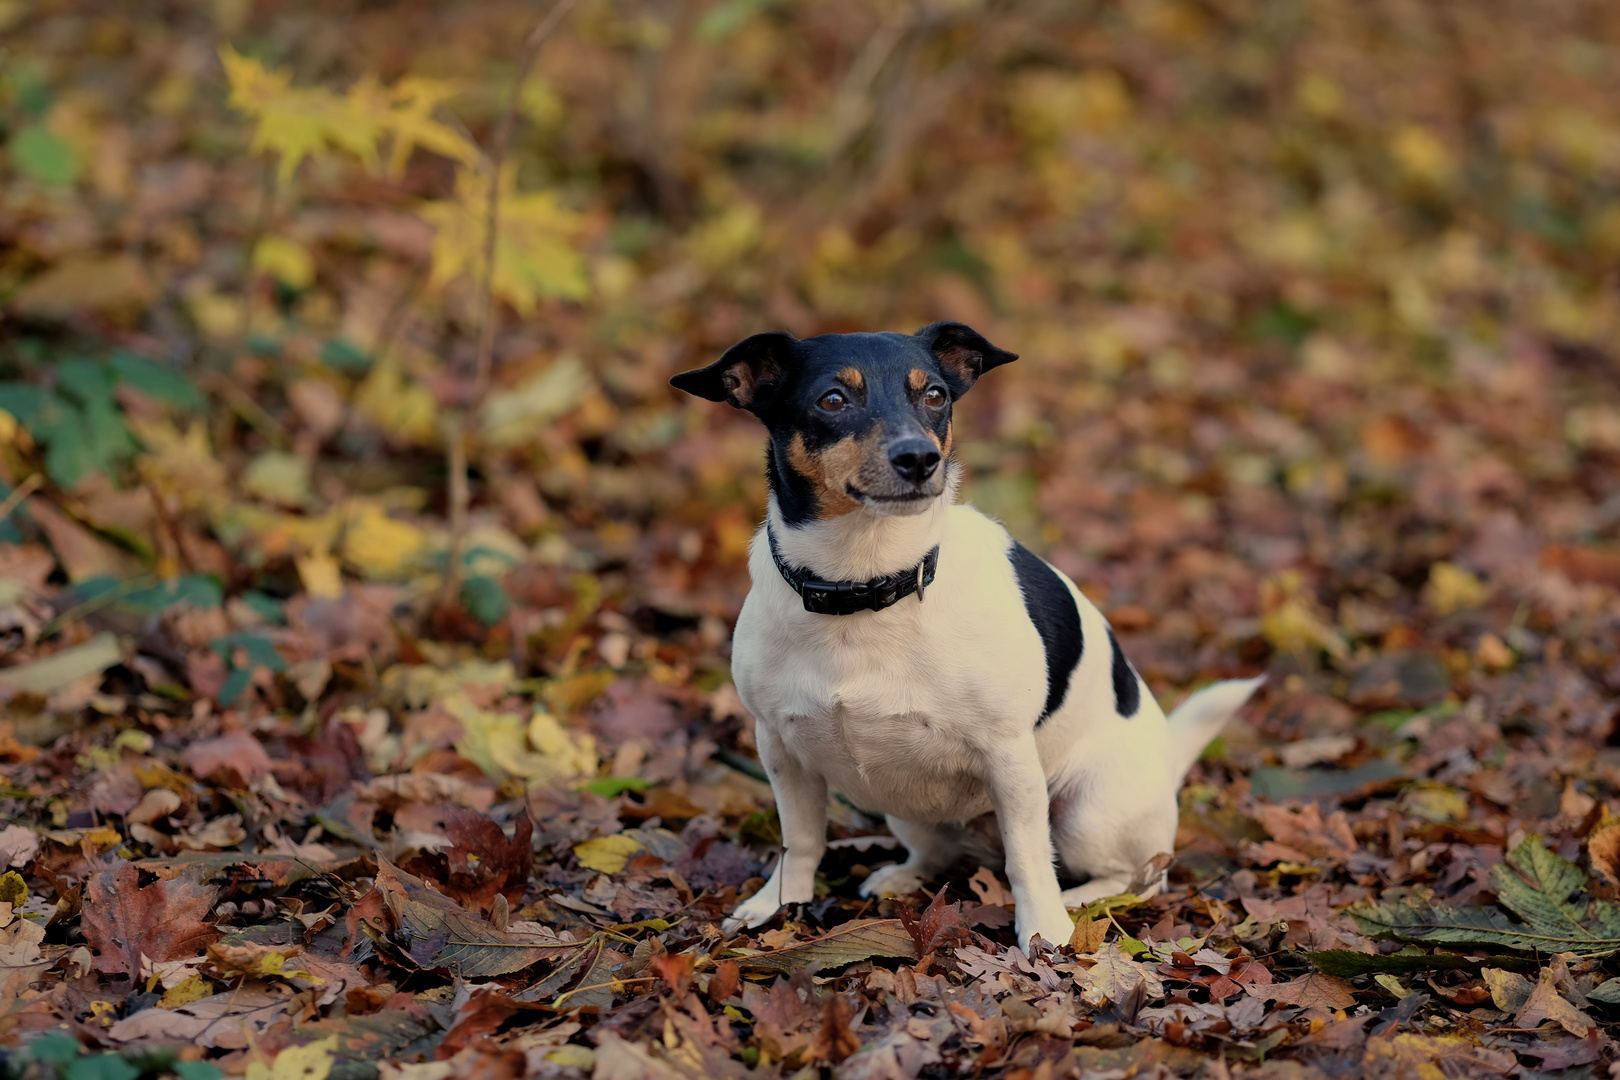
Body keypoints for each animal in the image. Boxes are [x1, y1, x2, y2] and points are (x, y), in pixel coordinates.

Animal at [670, 323, 1263, 952]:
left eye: (935, 395)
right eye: (832, 399)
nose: (919, 458)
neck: (866, 582)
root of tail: (1169, 764)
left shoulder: (1009, 757)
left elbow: (1028, 859)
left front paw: (1044, 930)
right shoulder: (780, 748)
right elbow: (800, 839)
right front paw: (778, 904)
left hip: (1087, 811)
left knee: (1135, 875)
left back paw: (1081, 899)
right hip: (910, 811)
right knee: (937, 853)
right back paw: (902, 876)